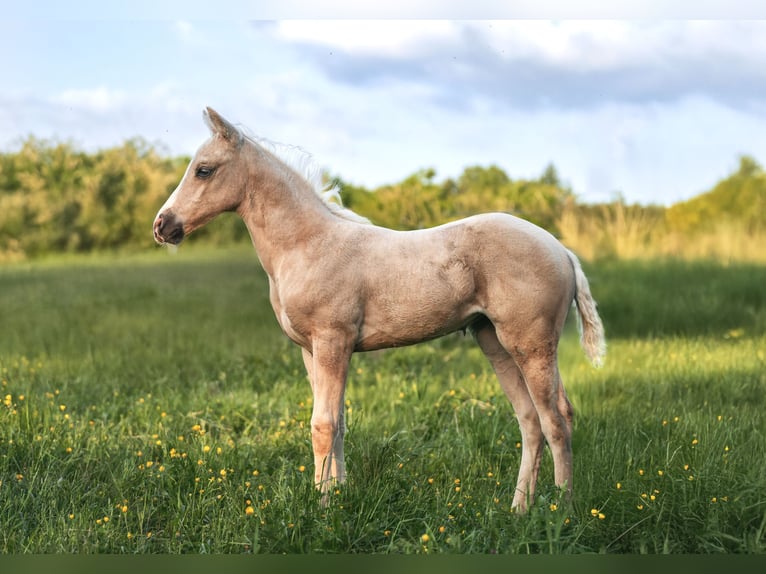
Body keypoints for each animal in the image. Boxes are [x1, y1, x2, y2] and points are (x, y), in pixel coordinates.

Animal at [153, 107, 606, 512]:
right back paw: (519, 509)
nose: (162, 226)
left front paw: (322, 509)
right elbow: (337, 424)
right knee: (530, 421)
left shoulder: (332, 341)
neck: (306, 244)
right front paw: (338, 497)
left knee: (556, 419)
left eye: (204, 170)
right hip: (494, 341)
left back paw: (560, 511)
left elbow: (323, 424)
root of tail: (561, 250)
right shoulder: (310, 350)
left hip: (531, 344)